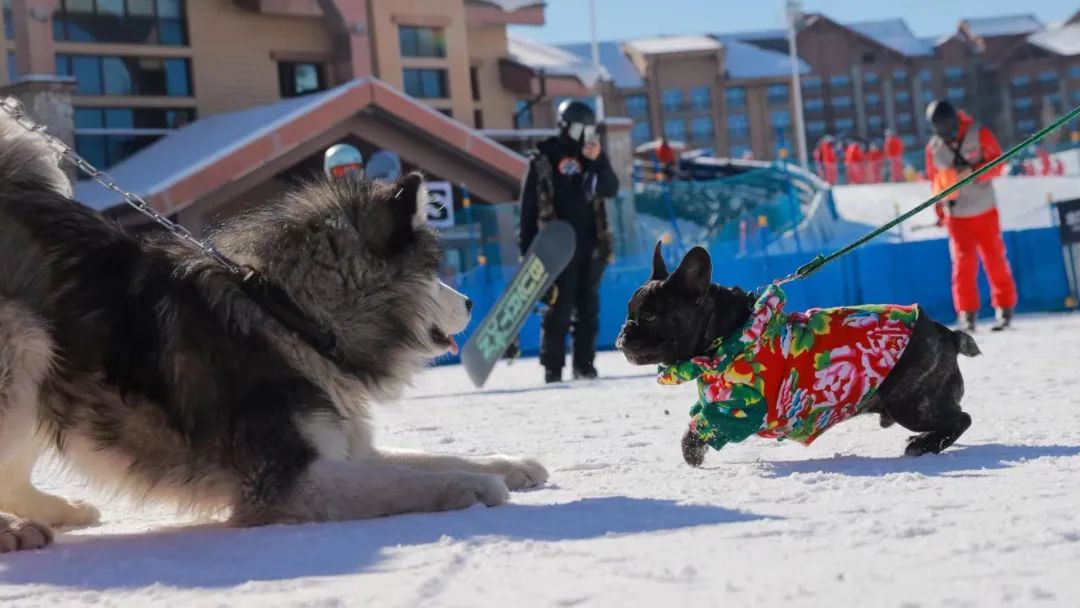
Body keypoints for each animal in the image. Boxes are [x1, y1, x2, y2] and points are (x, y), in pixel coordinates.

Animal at [0, 106, 544, 552]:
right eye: (435, 272)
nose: (471, 302)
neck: (291, 317)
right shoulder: (284, 482)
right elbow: (409, 481)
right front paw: (471, 486)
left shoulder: (345, 447)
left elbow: (423, 459)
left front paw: (508, 463)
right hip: (26, 341)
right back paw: (16, 530)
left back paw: (58, 512)